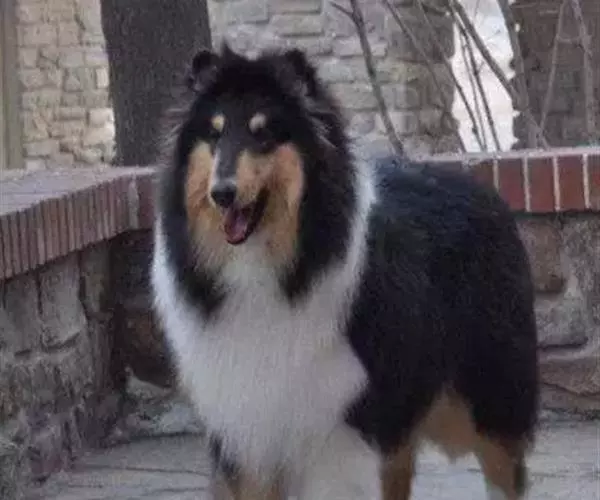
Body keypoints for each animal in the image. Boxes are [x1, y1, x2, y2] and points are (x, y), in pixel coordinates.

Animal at [151, 44, 539, 500]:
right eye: (213, 134)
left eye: (263, 133)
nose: (222, 193)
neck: (266, 269)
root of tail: (481, 185)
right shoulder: (247, 434)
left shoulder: (337, 430)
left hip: (485, 397)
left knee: (503, 470)